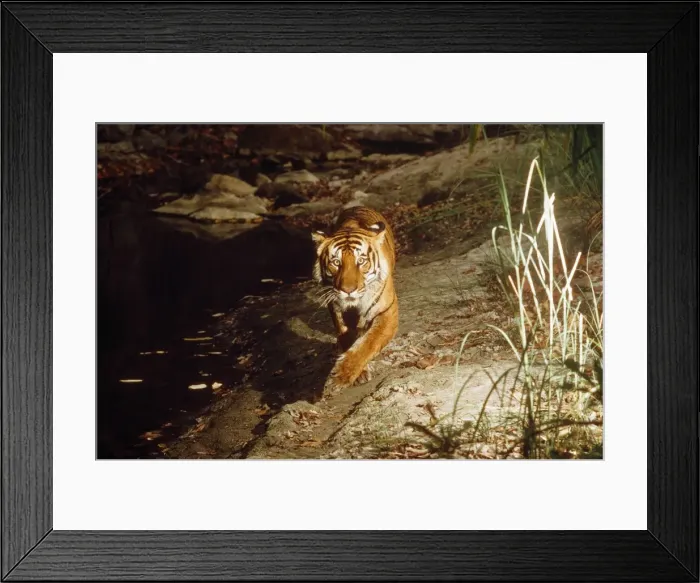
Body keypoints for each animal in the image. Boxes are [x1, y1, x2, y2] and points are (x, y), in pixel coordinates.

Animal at [311, 206, 399, 393]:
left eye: (361, 261)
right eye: (336, 262)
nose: (348, 290)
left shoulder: (387, 311)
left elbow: (369, 342)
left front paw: (341, 375)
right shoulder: (336, 309)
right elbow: (348, 339)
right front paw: (359, 373)